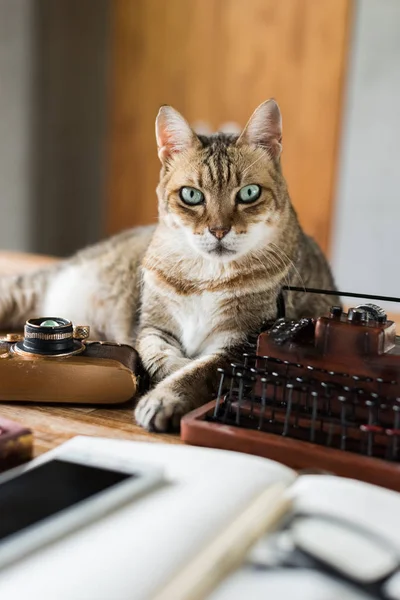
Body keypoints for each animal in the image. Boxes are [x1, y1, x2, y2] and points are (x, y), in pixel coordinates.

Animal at [0, 102, 338, 432]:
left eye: (249, 193)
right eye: (191, 195)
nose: (218, 230)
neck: (207, 276)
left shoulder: (242, 341)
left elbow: (200, 370)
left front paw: (164, 397)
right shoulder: (153, 326)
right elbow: (161, 358)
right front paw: (167, 377)